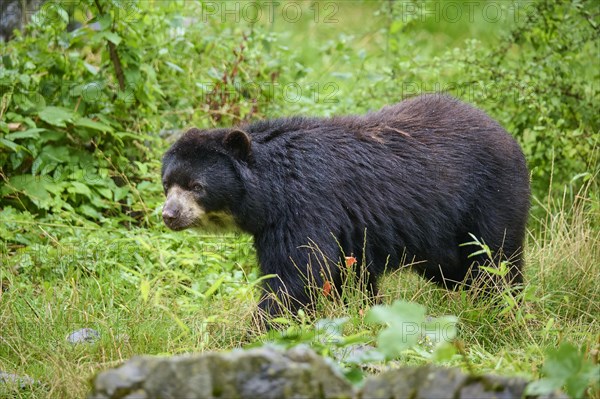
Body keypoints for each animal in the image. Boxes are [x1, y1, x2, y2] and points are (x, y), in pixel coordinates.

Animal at [161, 94, 528, 318]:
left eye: (196, 186)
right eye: (167, 183)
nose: (169, 214)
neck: (271, 194)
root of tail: (507, 134)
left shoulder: (306, 207)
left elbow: (297, 275)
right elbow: (347, 277)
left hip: (488, 197)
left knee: (495, 260)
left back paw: (505, 307)